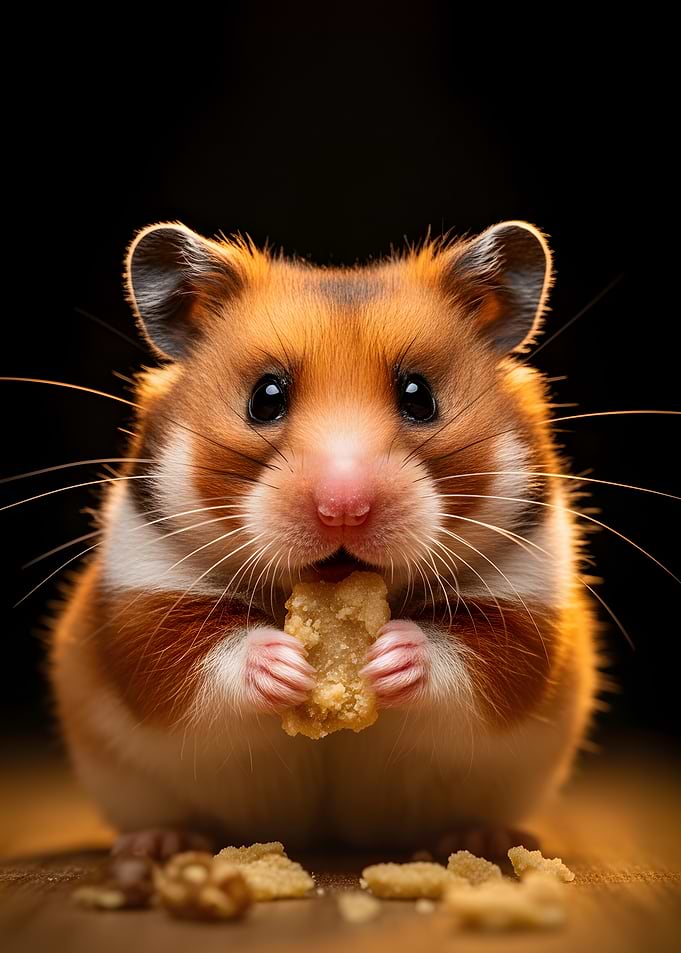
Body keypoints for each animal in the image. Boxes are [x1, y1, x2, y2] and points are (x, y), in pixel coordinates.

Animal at [50, 220, 597, 857]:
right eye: (265, 396)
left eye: (419, 396)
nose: (343, 510)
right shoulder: (142, 589)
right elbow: (183, 659)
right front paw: (285, 664)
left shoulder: (530, 597)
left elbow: (488, 660)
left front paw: (393, 653)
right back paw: (159, 844)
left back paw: (480, 839)